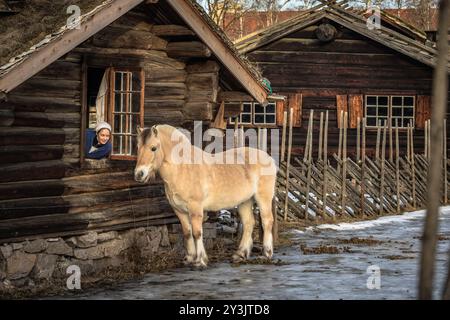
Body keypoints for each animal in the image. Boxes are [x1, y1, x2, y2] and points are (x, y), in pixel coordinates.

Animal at [133, 125, 278, 268]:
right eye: (137, 147)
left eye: (153, 148)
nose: (139, 174)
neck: (182, 169)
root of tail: (269, 158)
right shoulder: (179, 211)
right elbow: (187, 233)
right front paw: (189, 258)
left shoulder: (195, 208)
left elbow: (197, 233)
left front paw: (200, 260)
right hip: (245, 201)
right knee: (249, 223)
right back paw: (240, 254)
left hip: (263, 198)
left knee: (267, 221)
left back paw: (267, 253)